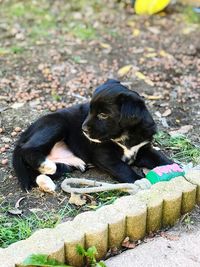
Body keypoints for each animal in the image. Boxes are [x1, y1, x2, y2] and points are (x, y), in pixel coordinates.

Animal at [12, 79, 172, 191]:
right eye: (90, 110)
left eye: (103, 115)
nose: (83, 129)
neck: (125, 136)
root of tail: (26, 133)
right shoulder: (104, 156)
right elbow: (123, 169)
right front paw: (139, 181)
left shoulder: (143, 149)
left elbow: (160, 158)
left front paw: (175, 168)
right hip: (56, 124)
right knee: (27, 149)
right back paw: (46, 165)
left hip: (65, 165)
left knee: (36, 172)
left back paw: (46, 182)